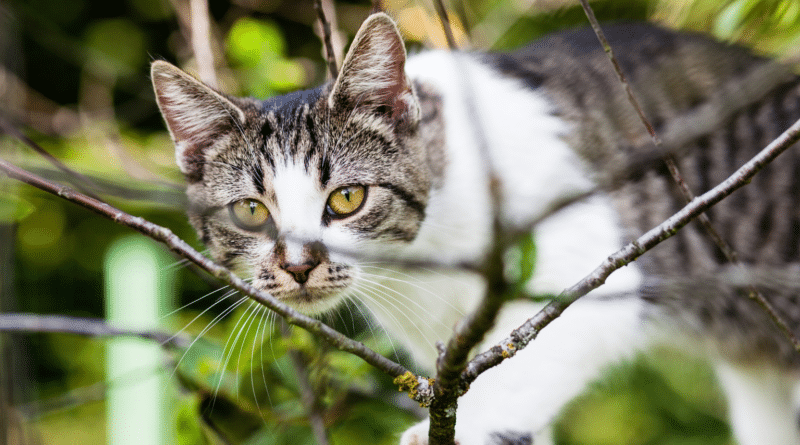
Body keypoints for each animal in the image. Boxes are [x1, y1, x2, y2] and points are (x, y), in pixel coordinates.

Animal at [150, 12, 800, 444]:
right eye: (250, 212)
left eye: (347, 199)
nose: (298, 264)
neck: (422, 263)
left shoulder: (586, 253)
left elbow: (532, 361)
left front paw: (475, 425)